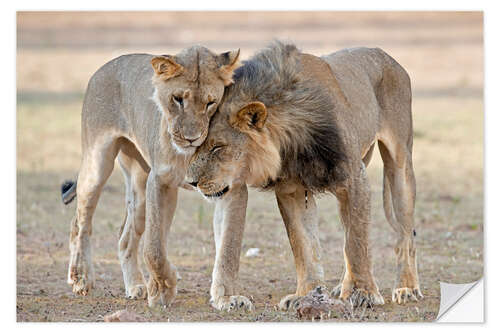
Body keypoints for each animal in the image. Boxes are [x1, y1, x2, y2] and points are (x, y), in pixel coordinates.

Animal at [61, 45, 242, 308]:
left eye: (211, 103)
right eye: (178, 99)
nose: (191, 138)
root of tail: (104, 67)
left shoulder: (230, 186)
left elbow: (229, 246)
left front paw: (227, 298)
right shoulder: (160, 181)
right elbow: (154, 247)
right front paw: (164, 288)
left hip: (138, 186)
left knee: (125, 238)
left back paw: (135, 287)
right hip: (97, 164)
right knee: (80, 223)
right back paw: (81, 278)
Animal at [187, 41, 422, 308]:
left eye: (217, 147)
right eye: (197, 145)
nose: (191, 182)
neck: (290, 142)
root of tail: (385, 54)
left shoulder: (354, 178)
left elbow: (357, 242)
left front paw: (363, 293)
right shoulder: (291, 190)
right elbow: (302, 243)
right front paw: (306, 294)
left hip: (400, 164)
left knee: (405, 235)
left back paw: (406, 287)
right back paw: (343, 286)